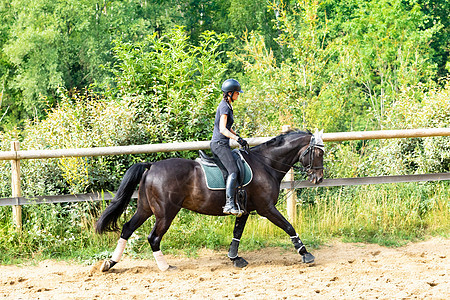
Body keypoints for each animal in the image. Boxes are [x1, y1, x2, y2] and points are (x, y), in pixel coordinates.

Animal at [95, 129, 324, 272]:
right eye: (319, 153)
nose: (319, 178)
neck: (265, 164)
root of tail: (151, 166)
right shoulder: (266, 208)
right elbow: (289, 226)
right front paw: (305, 254)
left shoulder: (245, 210)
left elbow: (237, 234)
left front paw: (235, 258)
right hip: (166, 212)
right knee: (153, 238)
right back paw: (165, 267)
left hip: (145, 208)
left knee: (127, 228)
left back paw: (110, 263)